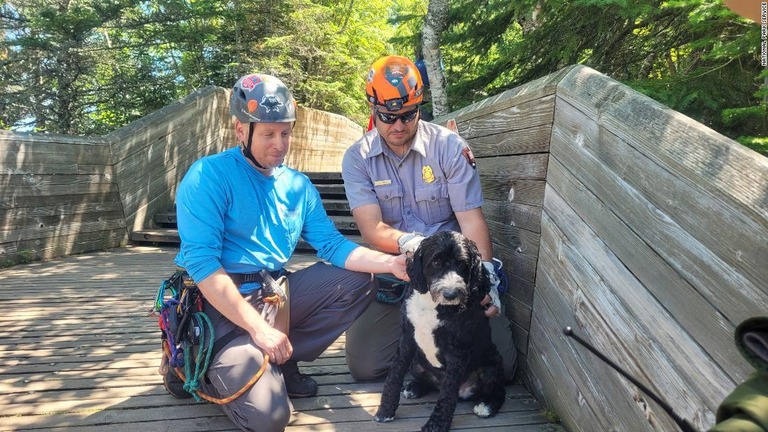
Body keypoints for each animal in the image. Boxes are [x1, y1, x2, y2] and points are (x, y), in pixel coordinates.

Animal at [372, 231, 504, 432]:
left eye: (462, 264)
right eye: (435, 262)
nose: (451, 294)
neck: (433, 305)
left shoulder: (457, 352)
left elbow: (447, 394)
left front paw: (436, 424)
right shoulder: (406, 338)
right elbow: (394, 374)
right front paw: (385, 411)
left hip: (491, 366)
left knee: (499, 390)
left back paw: (486, 405)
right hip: (416, 362)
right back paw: (414, 387)